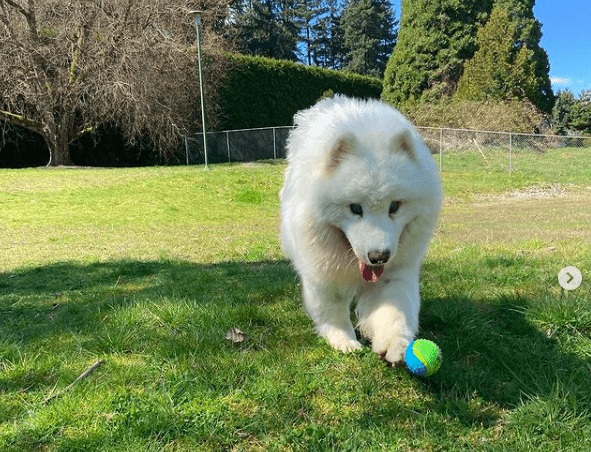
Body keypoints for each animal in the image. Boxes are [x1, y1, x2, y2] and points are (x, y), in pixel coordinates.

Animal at [280, 96, 442, 364]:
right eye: (355, 208)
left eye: (394, 206)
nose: (379, 257)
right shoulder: (324, 278)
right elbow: (333, 314)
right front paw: (344, 341)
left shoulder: (394, 276)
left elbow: (394, 312)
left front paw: (394, 345)